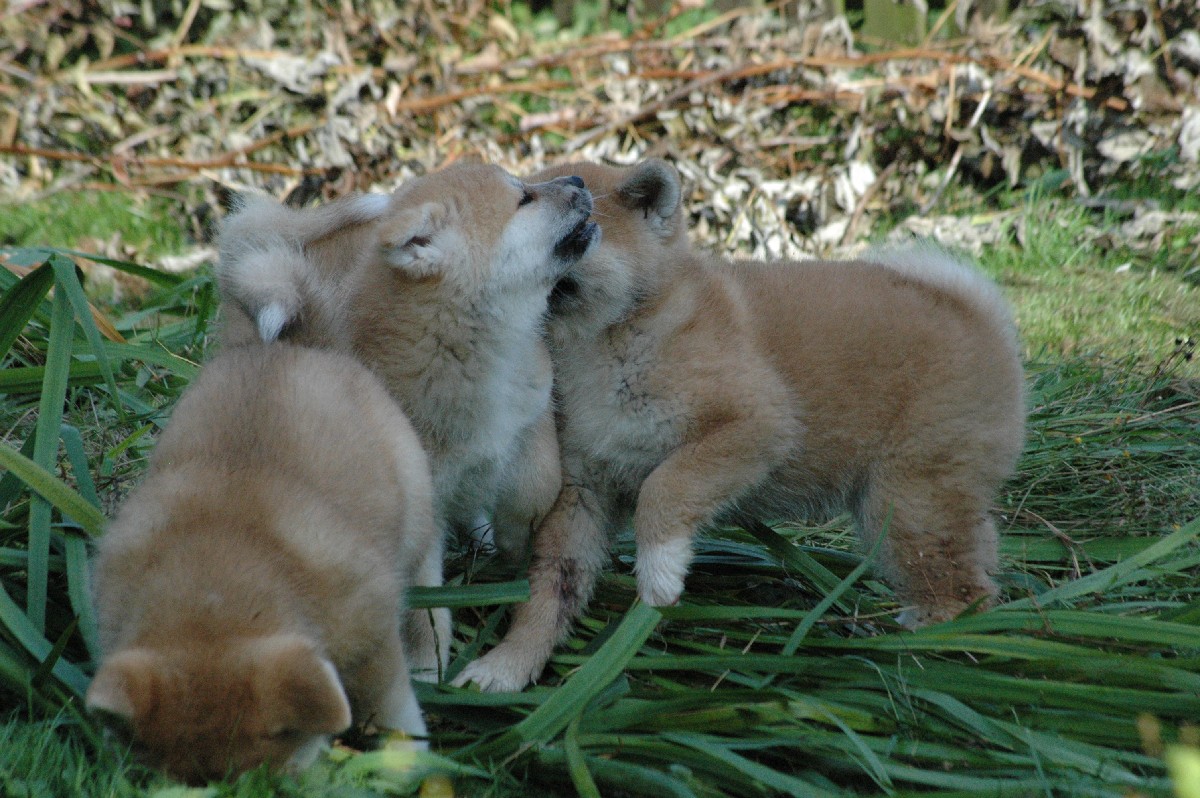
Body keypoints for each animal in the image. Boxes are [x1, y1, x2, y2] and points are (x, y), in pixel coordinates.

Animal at [87, 344, 443, 783]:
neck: (215, 586)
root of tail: (295, 349)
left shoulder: (373, 637)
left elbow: (391, 708)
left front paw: (407, 764)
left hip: (416, 511)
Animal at [215, 163, 599, 559]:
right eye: (524, 198)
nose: (578, 179)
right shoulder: (424, 488)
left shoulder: (533, 411)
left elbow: (540, 481)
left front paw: (517, 534)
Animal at [454, 159, 1026, 692]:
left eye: (577, 227)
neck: (606, 343)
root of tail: (978, 316)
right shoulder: (581, 490)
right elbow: (548, 593)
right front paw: (507, 666)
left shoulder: (755, 424)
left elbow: (663, 490)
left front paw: (660, 574)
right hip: (916, 504)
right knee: (976, 564)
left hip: (908, 501)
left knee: (964, 589)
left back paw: (931, 649)